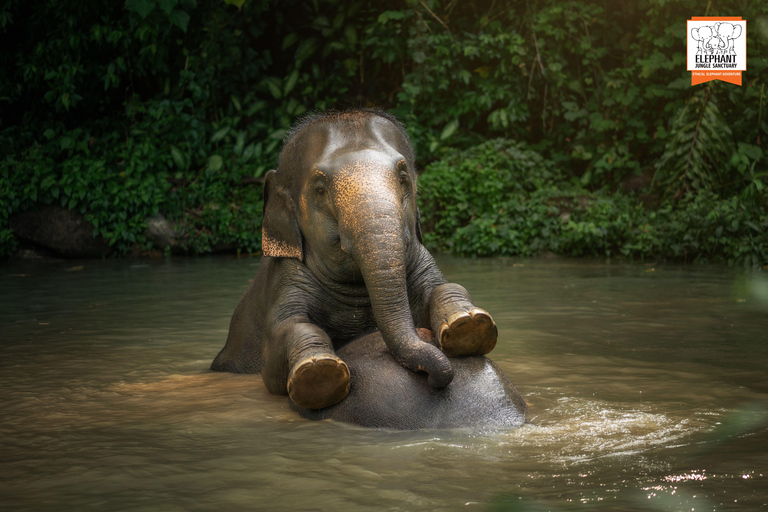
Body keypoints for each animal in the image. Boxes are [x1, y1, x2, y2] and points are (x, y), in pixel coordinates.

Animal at [211, 109, 498, 411]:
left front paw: (468, 325)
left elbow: (443, 286)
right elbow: (283, 337)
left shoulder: (421, 260)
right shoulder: (287, 277)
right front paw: (318, 371)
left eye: (403, 178)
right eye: (320, 189)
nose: (435, 377)